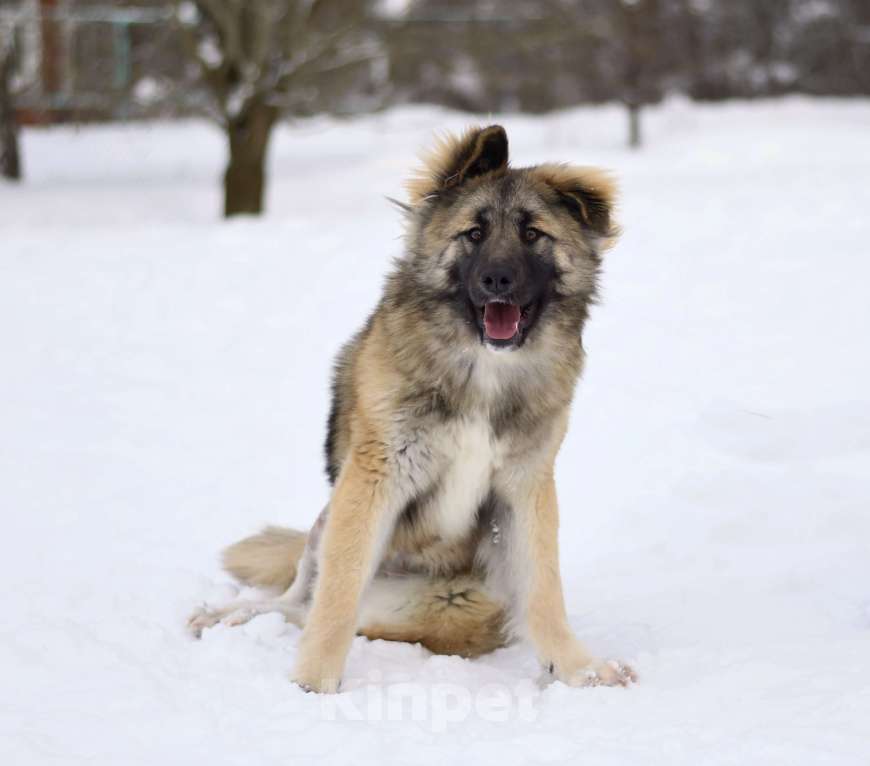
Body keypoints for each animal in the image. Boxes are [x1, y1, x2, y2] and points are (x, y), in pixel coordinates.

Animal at [191, 123, 636, 692]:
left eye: (533, 234)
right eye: (474, 233)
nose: (497, 280)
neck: (480, 368)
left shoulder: (524, 485)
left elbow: (543, 589)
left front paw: (578, 668)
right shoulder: (376, 475)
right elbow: (336, 594)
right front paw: (314, 684)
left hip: (457, 602)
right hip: (328, 522)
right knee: (300, 601)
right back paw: (228, 616)